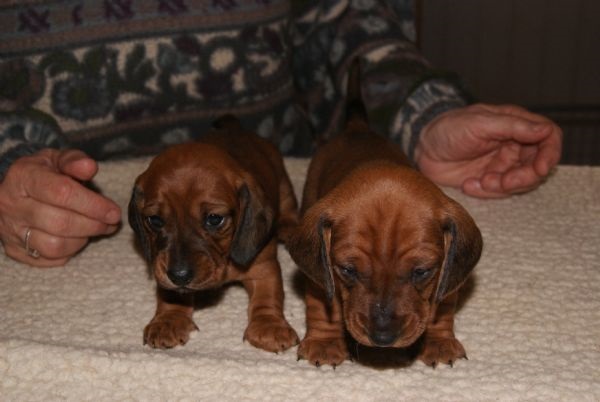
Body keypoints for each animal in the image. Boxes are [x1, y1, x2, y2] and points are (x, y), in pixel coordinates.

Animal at [128, 116, 299, 353]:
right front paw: (168, 320)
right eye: (155, 220)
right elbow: (170, 293)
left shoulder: (263, 266)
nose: (179, 275)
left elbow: (268, 296)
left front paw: (269, 326)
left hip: (284, 184)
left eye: (214, 219)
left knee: (288, 208)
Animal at [287, 62, 483, 368]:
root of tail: (357, 126)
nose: (382, 337)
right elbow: (322, 304)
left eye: (422, 271)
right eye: (348, 270)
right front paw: (324, 343)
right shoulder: (322, 271)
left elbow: (442, 307)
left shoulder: (447, 274)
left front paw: (439, 342)